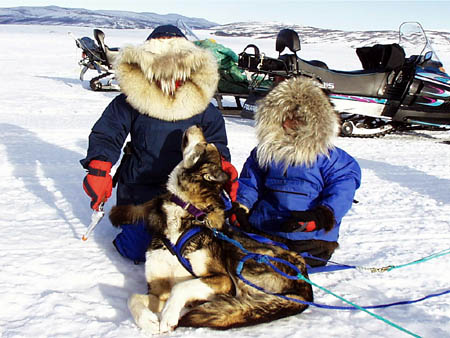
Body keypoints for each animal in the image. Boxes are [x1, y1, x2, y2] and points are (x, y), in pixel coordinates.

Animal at [109, 125, 312, 332]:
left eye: (205, 144)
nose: (197, 126)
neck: (186, 211)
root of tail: (306, 289)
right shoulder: (159, 291)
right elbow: (133, 297)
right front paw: (148, 320)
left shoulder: (223, 280)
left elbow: (180, 287)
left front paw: (168, 316)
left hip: (242, 261)